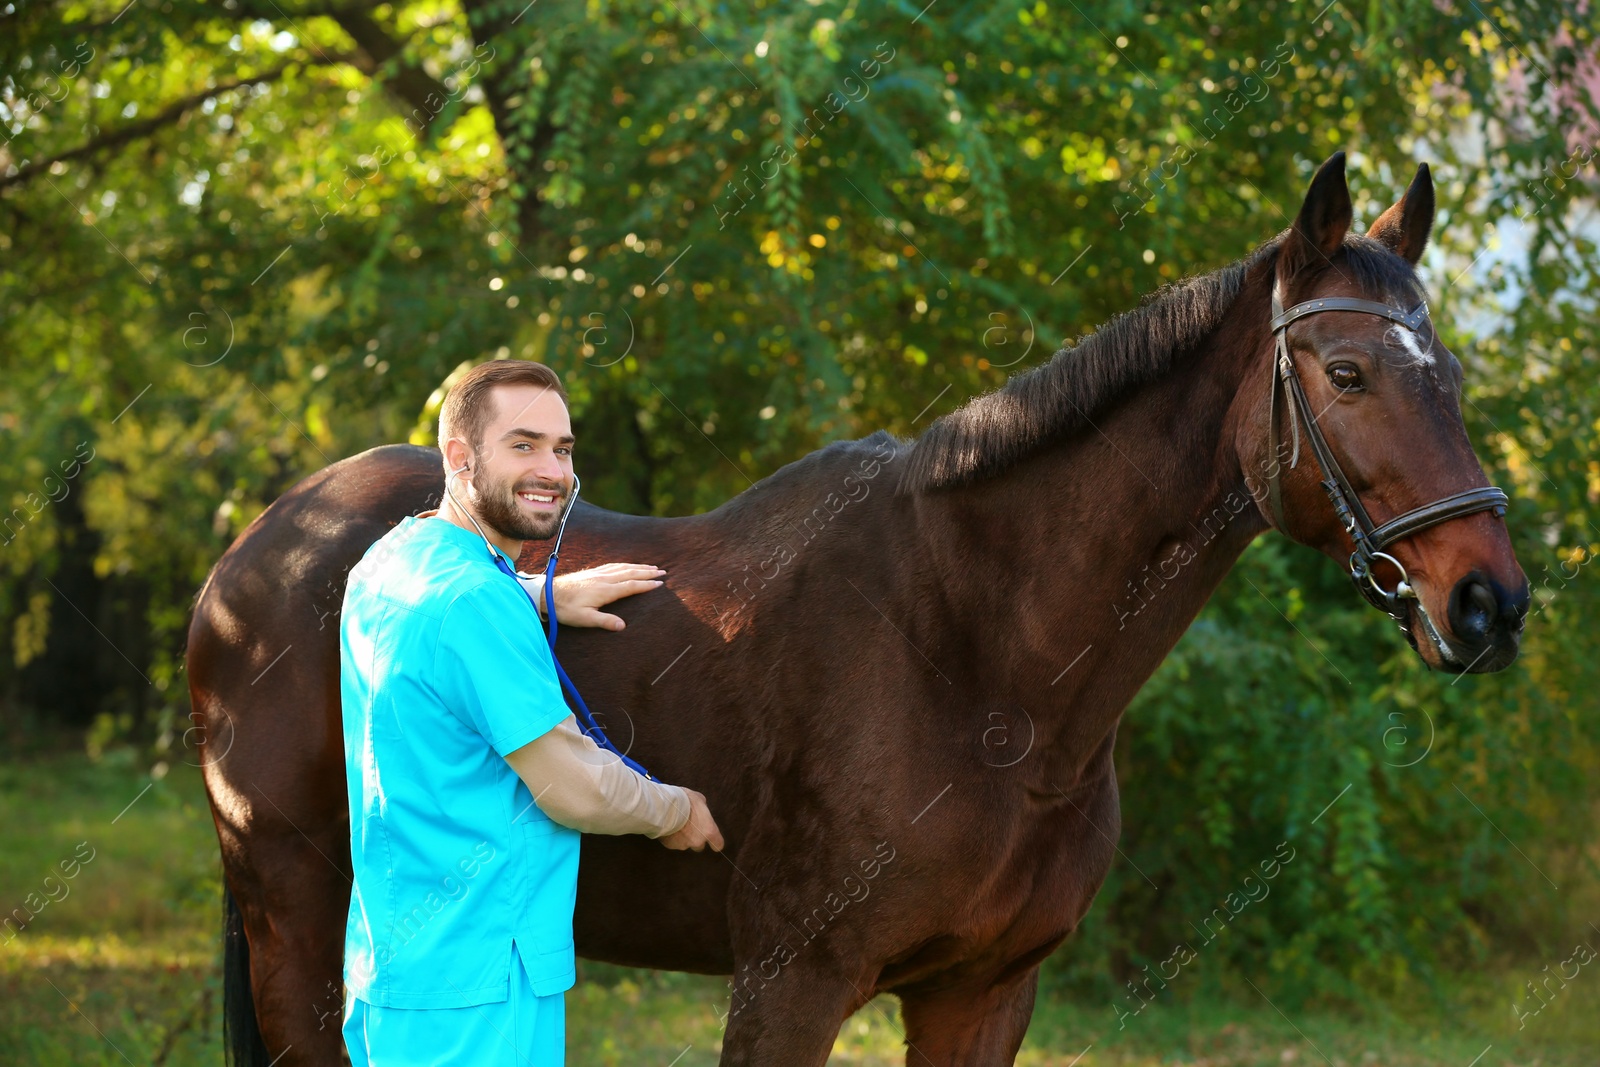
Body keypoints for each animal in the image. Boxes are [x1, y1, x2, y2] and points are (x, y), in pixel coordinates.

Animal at [184, 151, 1523, 1067]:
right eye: (1345, 373)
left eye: (1452, 376)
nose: (1488, 602)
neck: (979, 663)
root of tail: (258, 547)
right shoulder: (791, 979)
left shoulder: (983, 990)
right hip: (295, 907)